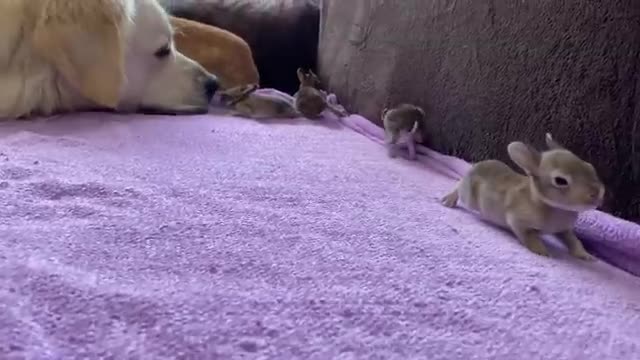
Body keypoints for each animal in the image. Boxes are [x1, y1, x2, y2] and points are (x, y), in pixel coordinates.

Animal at [442, 134, 604, 260]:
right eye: (560, 181)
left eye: (590, 167)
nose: (597, 194)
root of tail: (477, 166)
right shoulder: (518, 221)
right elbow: (529, 237)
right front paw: (542, 252)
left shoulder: (564, 229)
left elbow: (573, 240)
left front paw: (585, 255)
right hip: (470, 197)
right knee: (459, 187)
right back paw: (448, 200)